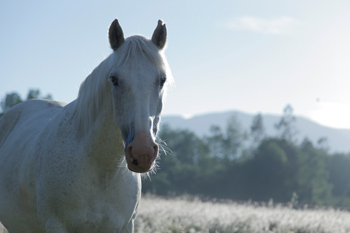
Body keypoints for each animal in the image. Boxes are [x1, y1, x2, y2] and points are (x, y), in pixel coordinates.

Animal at [0, 18, 172, 233]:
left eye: (162, 80)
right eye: (114, 79)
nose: (142, 152)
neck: (103, 172)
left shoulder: (125, 226)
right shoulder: (56, 225)